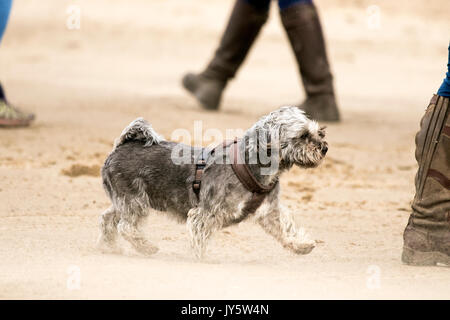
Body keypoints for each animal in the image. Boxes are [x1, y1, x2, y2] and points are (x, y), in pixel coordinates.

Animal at [98, 106, 328, 258]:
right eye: (303, 135)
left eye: (319, 130)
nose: (324, 147)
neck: (252, 165)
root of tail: (122, 146)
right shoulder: (205, 214)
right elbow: (200, 240)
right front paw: (203, 260)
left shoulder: (270, 212)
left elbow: (286, 229)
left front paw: (300, 245)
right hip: (134, 201)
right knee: (126, 226)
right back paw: (145, 247)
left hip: (123, 202)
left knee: (107, 219)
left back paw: (109, 247)